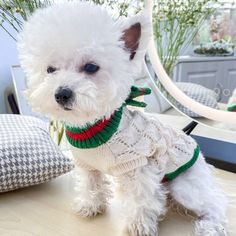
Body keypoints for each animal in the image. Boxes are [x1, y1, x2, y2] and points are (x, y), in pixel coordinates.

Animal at [18, 2, 227, 236]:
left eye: (91, 67)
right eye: (50, 70)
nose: (62, 93)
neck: (94, 128)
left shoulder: (140, 167)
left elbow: (141, 200)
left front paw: (139, 225)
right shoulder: (87, 165)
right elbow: (90, 185)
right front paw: (90, 204)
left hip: (186, 185)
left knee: (216, 203)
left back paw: (210, 226)